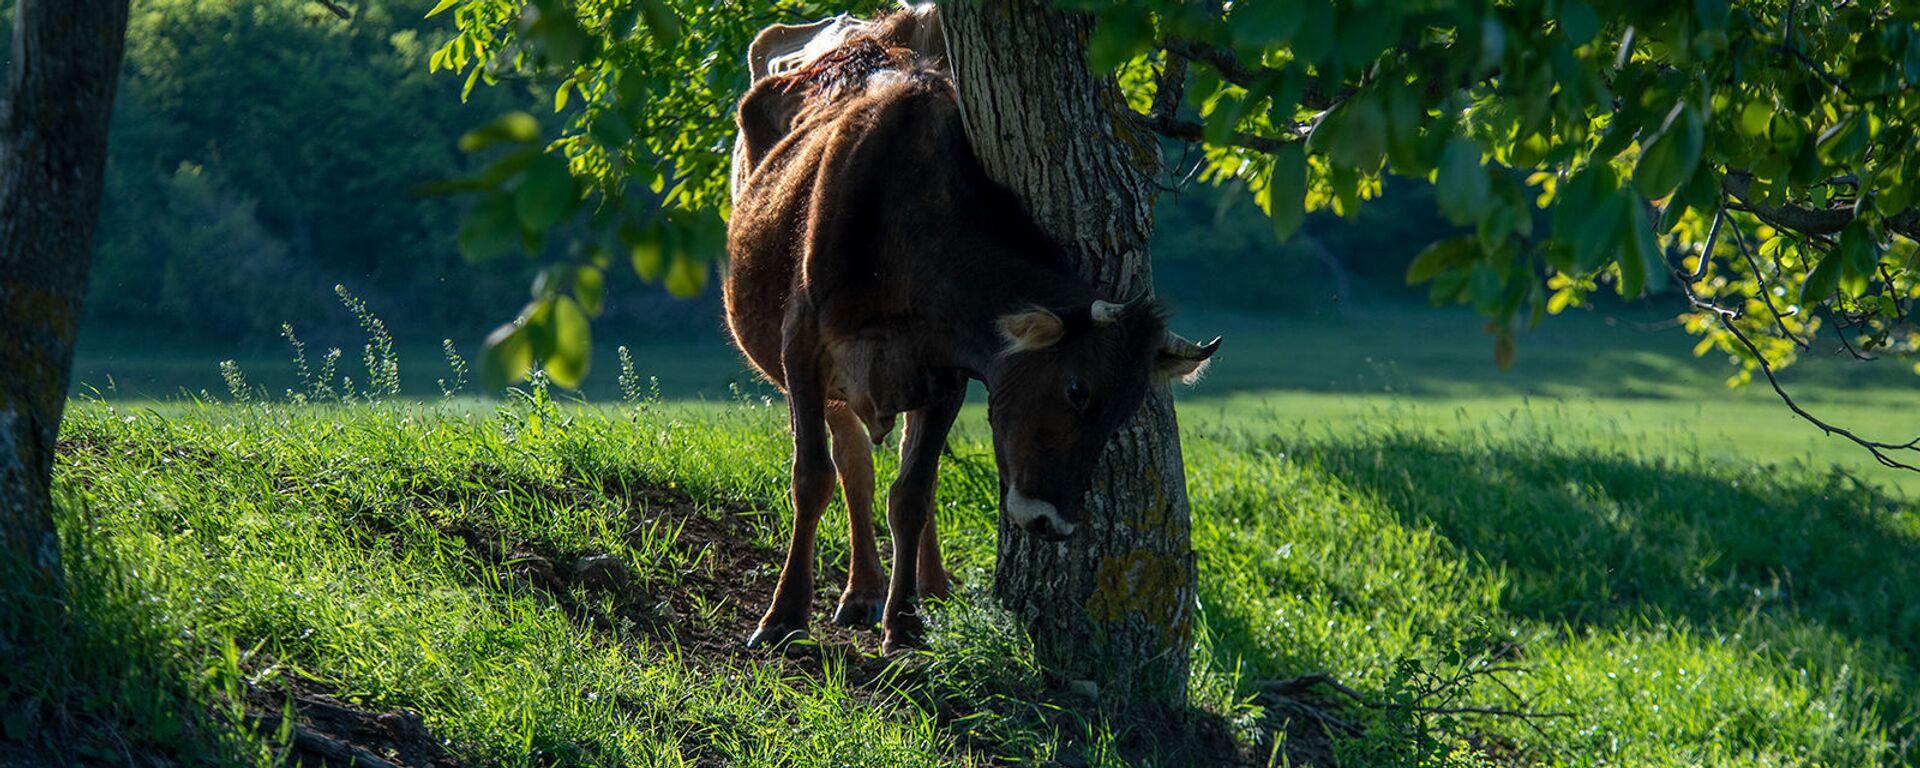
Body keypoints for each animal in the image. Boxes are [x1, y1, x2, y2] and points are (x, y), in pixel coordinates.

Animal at [725, 9, 1221, 652]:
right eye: (1077, 388)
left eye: (1127, 408)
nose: (1053, 523)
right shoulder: (802, 346)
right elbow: (813, 478)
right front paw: (784, 615)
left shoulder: (946, 375)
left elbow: (912, 494)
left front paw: (905, 621)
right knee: (854, 465)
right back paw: (861, 589)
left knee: (897, 470)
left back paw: (925, 589)